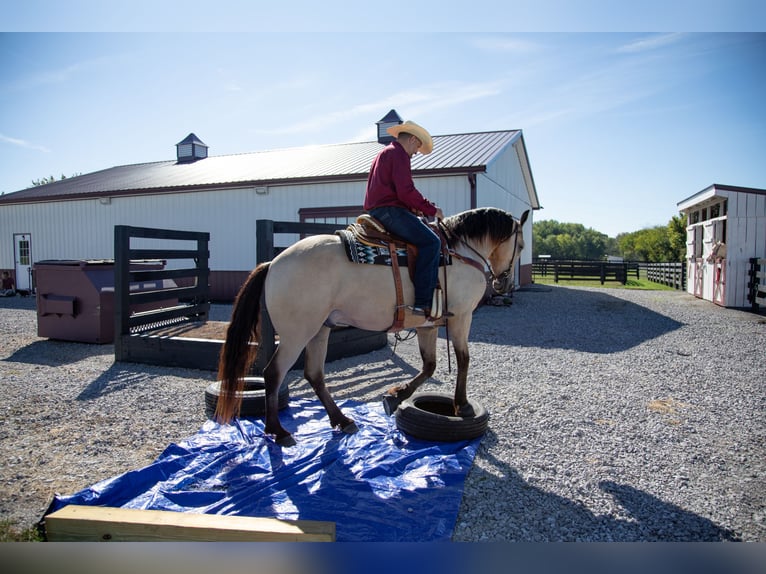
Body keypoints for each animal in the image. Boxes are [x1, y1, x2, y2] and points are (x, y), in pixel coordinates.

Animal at [215, 207, 530, 446]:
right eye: (521, 246)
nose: (504, 284)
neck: (460, 252)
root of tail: (273, 263)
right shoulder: (462, 317)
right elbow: (463, 359)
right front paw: (461, 405)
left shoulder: (428, 324)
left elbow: (429, 366)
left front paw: (396, 396)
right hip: (297, 334)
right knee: (273, 374)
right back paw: (278, 431)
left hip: (320, 330)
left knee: (314, 374)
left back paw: (341, 419)